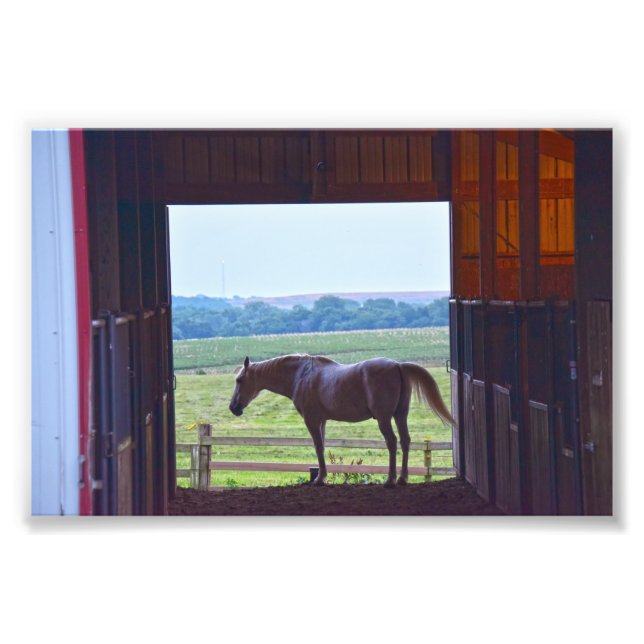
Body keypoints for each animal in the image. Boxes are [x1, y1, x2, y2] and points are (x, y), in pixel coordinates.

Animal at [228, 354, 457, 488]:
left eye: (239, 380)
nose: (233, 407)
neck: (301, 375)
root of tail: (397, 365)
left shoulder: (312, 420)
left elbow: (318, 447)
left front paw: (320, 479)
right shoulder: (322, 421)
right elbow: (322, 446)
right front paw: (323, 476)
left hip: (384, 419)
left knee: (392, 442)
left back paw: (390, 479)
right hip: (400, 415)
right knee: (405, 441)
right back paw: (402, 478)